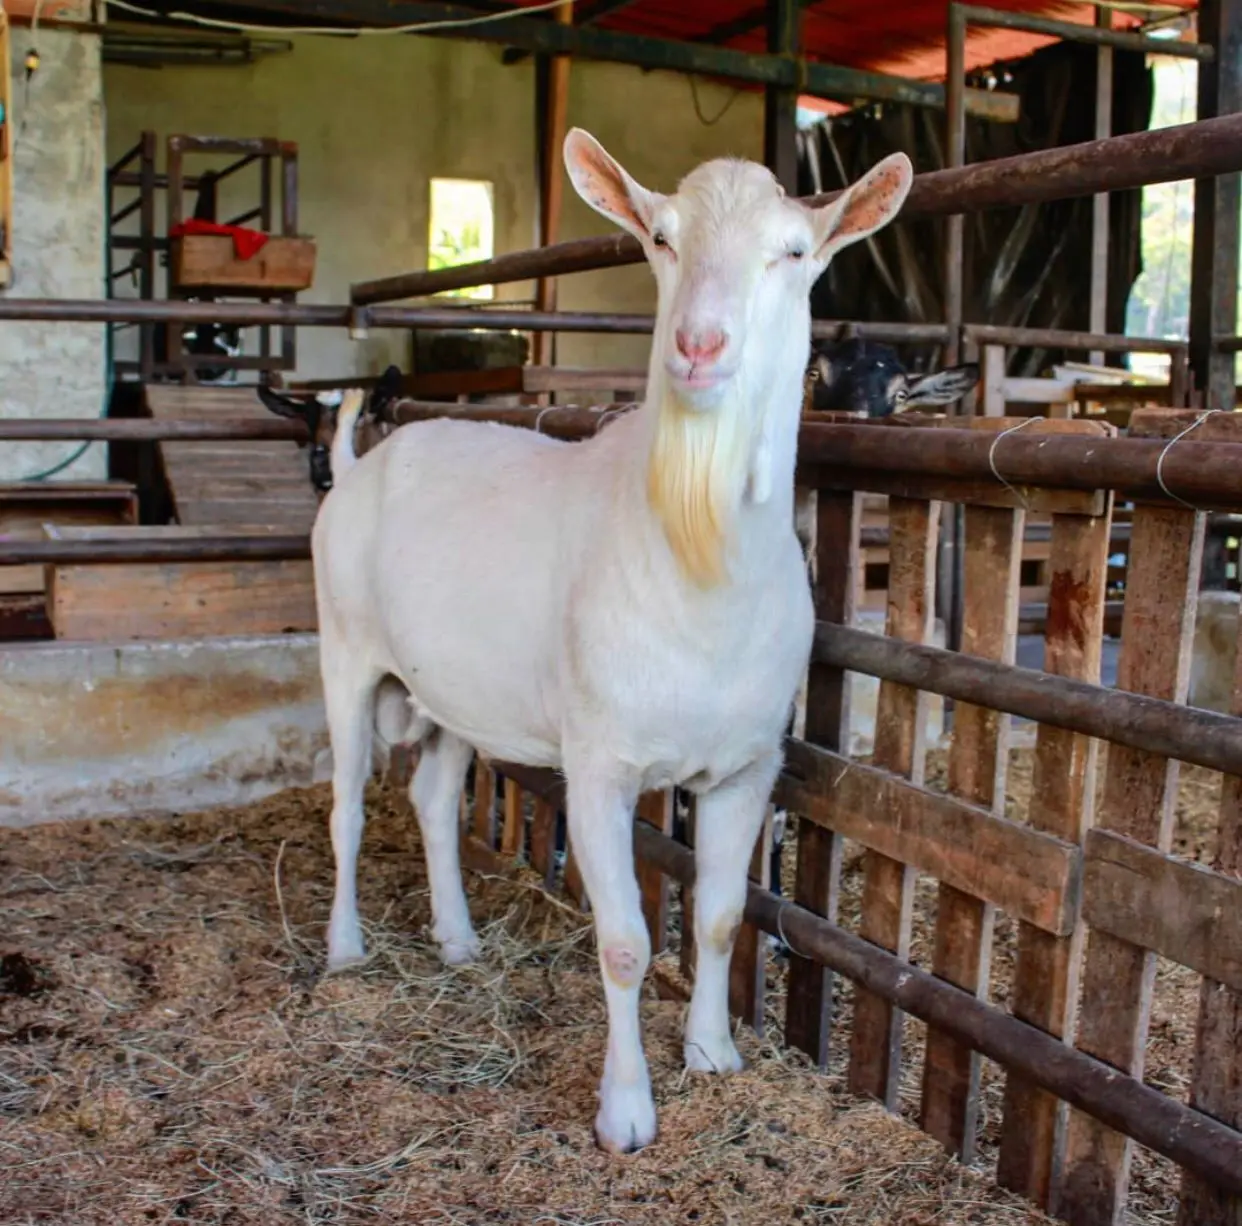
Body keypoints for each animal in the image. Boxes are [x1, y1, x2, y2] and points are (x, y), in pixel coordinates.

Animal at [312, 129, 912, 1154]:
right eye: (660, 238)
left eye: (795, 251)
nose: (699, 345)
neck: (693, 546)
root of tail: (359, 466)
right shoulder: (600, 763)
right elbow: (627, 942)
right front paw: (626, 1112)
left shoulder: (751, 765)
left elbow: (718, 918)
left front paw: (713, 1053)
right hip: (342, 648)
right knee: (349, 804)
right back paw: (346, 949)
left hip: (453, 690)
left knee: (430, 796)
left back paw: (459, 939)